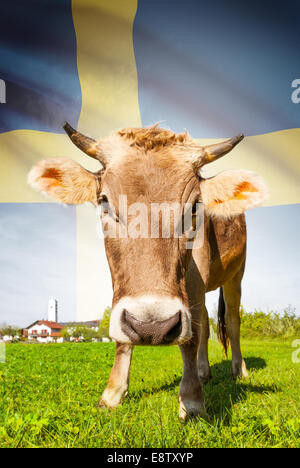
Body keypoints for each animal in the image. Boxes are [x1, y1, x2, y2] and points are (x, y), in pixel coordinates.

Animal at [28, 122, 268, 418]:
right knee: (206, 323)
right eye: (104, 201)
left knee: (232, 321)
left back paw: (239, 370)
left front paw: (192, 400)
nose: (152, 327)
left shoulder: (196, 275)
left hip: (236, 274)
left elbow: (191, 335)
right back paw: (203, 372)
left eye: (195, 207)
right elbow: (125, 334)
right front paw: (112, 393)